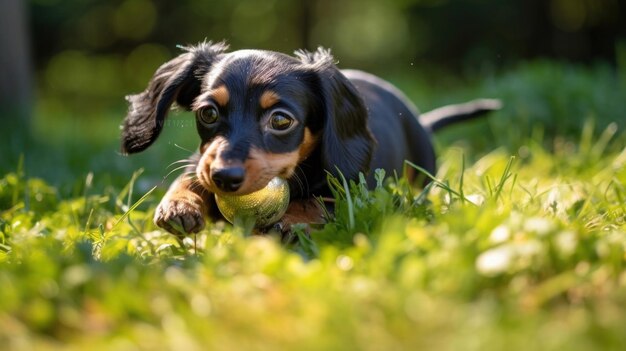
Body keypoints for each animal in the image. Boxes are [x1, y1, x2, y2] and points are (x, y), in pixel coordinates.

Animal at [120, 42, 498, 238]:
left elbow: (318, 203)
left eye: (280, 120)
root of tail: (421, 121)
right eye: (208, 113)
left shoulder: (351, 194)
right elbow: (191, 176)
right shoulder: (203, 161)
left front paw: (289, 217)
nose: (224, 177)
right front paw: (178, 203)